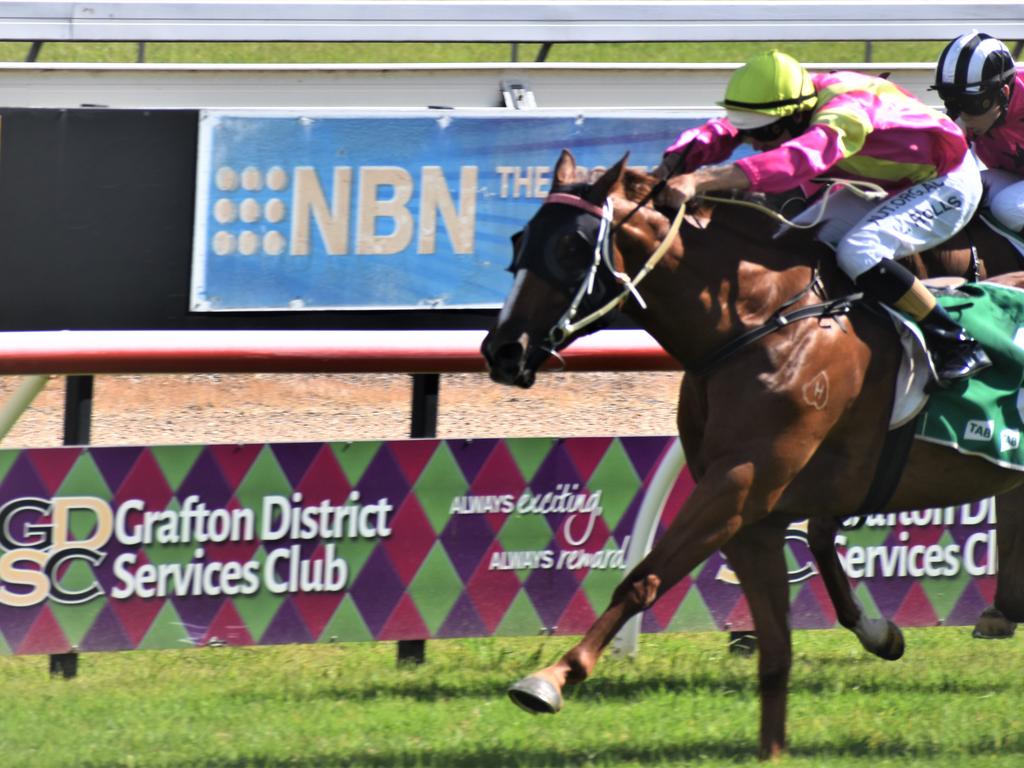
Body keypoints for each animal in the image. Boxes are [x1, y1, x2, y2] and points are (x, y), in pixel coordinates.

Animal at [483, 148, 1024, 757]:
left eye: (573, 247)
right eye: (520, 240)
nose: (504, 350)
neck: (759, 324)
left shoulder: (739, 486)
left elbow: (644, 577)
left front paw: (549, 679)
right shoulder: (753, 515)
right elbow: (775, 649)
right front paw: (777, 746)